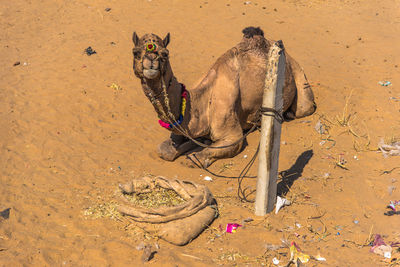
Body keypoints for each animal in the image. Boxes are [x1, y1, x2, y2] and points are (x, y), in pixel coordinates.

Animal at [133, 25, 318, 168]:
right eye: (135, 52)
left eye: (165, 54)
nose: (151, 60)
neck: (202, 102)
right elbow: (164, 150)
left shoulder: (232, 135)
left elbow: (198, 157)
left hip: (297, 72)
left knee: (304, 107)